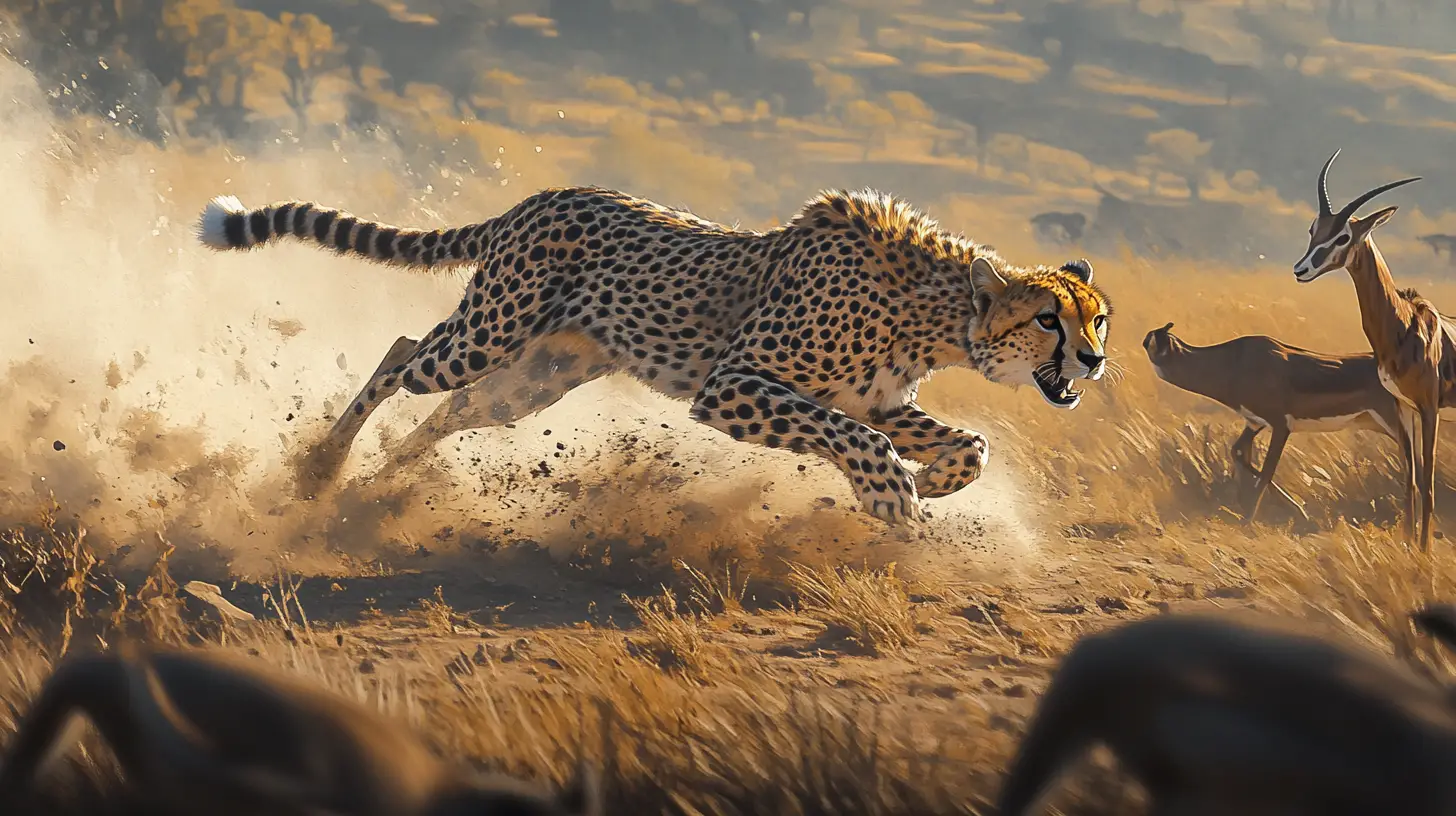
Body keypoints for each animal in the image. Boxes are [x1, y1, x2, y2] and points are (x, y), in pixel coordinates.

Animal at [196, 185, 1112, 525]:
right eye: (1048, 320)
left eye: (1100, 319)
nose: (1097, 363)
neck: (935, 311)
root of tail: (541, 197)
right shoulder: (733, 385)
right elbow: (857, 440)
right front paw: (893, 498)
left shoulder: (877, 398)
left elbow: (968, 442)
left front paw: (937, 483)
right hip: (487, 334)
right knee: (401, 352)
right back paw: (322, 468)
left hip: (534, 380)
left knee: (454, 412)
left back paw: (382, 487)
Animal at [1143, 322, 1409, 524]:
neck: (1232, 363)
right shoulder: (1254, 422)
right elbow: (1240, 453)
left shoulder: (1281, 426)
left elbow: (1266, 472)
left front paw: (1250, 521)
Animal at [1294, 149, 1455, 551]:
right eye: (1313, 228)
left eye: (1344, 236)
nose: (1301, 269)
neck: (1404, 326)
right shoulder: (1402, 407)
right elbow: (1410, 483)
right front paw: (1410, 546)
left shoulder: (1429, 409)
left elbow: (1429, 485)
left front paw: (1424, 554)